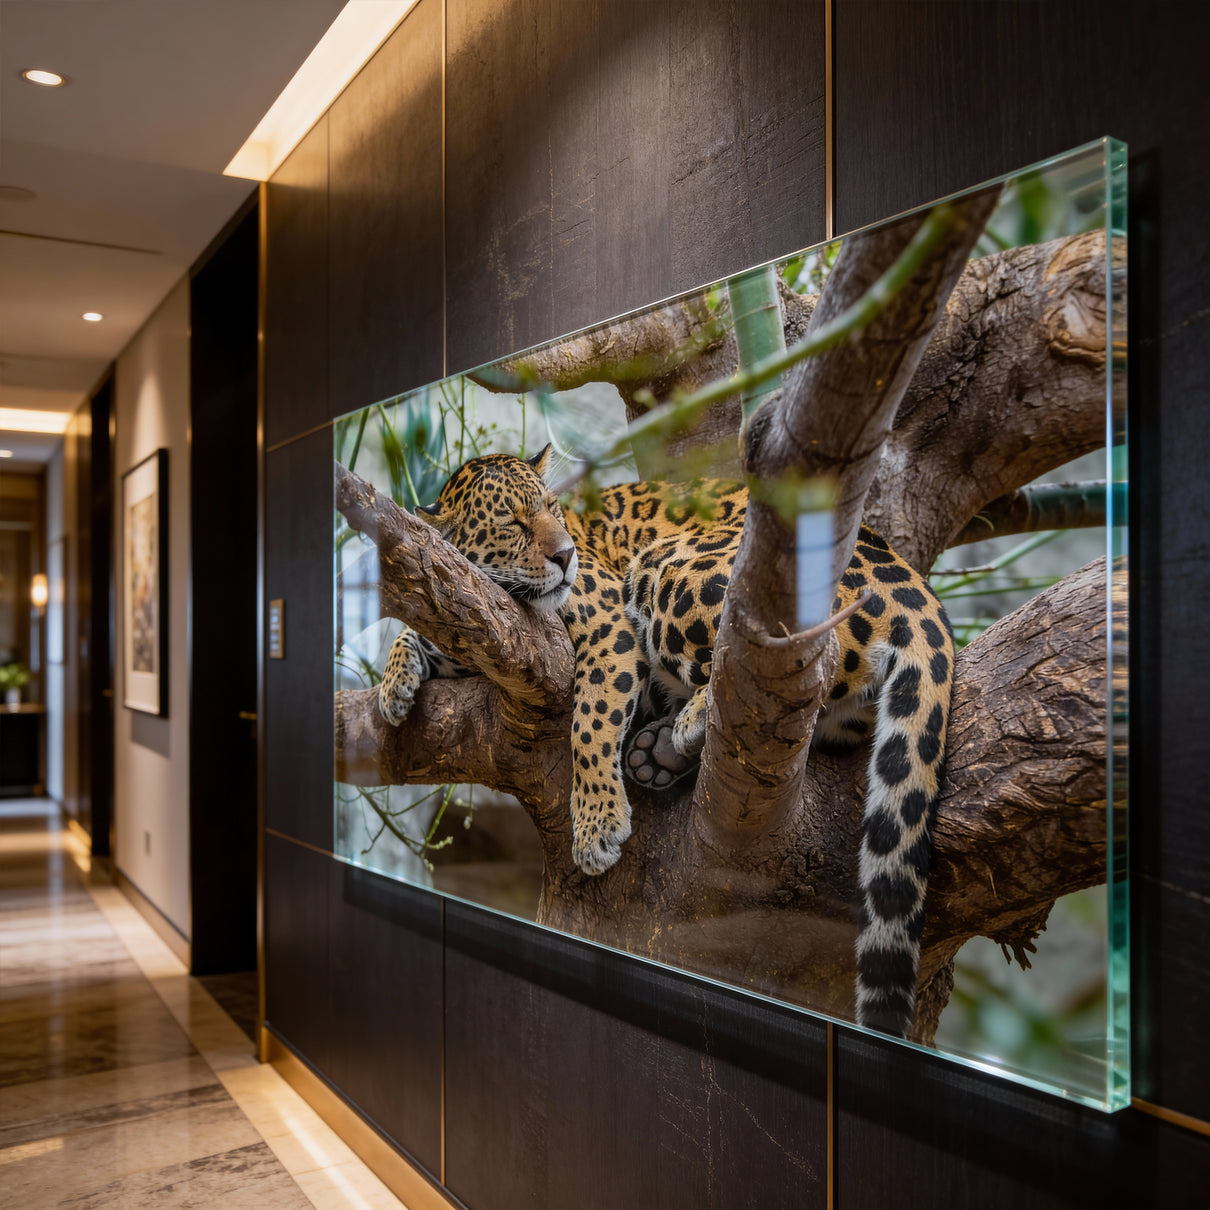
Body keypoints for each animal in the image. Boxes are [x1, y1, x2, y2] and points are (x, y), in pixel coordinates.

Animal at [376, 445, 954, 1036]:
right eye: (512, 524)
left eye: (552, 509)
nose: (566, 556)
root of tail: (911, 584)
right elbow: (417, 633)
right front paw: (393, 687)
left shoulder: (608, 618)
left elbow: (590, 720)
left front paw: (597, 823)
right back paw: (660, 751)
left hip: (673, 567)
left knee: (797, 658)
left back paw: (690, 722)